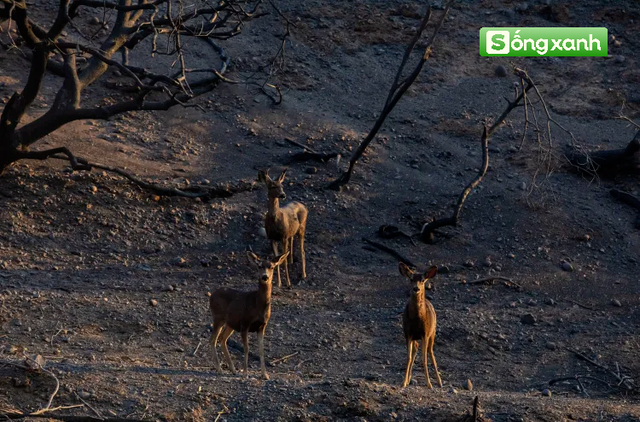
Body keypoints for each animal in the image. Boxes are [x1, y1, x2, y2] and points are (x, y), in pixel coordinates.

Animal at [209, 251, 288, 380]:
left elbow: (261, 350)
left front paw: (265, 374)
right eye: (259, 266)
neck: (258, 306)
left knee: (222, 339)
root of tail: (211, 295)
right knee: (212, 340)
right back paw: (220, 369)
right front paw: (245, 373)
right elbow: (246, 348)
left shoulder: (262, 326)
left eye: (272, 267)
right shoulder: (245, 323)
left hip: (230, 323)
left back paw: (233, 369)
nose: (265, 277)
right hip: (218, 317)